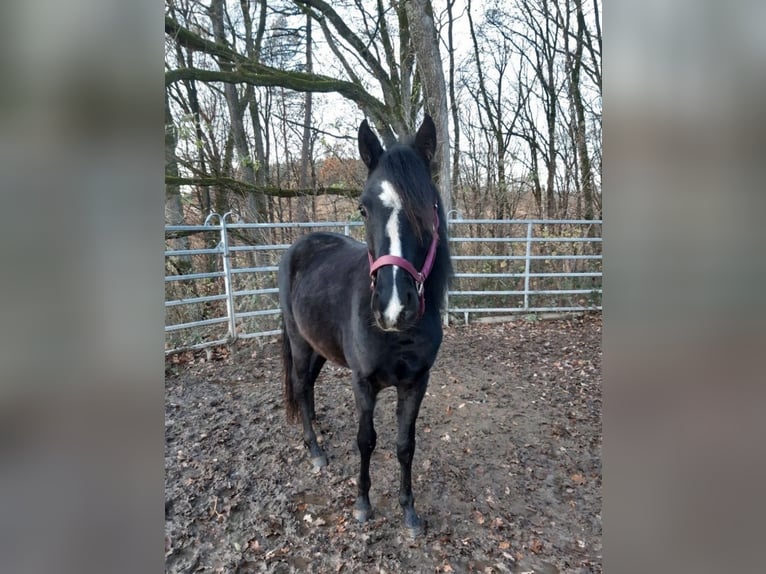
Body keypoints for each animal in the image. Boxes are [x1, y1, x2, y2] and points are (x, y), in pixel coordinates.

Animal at [278, 115, 452, 537]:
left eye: (429, 206)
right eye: (362, 209)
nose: (393, 308)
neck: (399, 336)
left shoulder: (416, 383)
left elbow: (405, 445)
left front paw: (409, 512)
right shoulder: (363, 382)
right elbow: (366, 440)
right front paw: (362, 505)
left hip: (320, 348)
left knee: (308, 389)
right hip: (300, 344)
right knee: (301, 387)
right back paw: (315, 450)